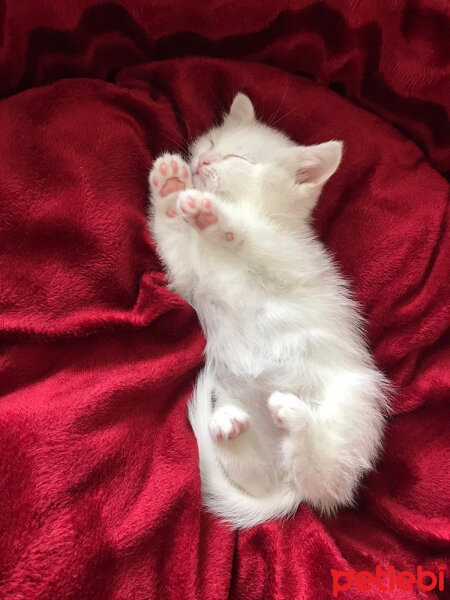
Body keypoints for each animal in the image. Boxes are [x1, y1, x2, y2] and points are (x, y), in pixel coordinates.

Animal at [147, 91, 386, 528]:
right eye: (211, 144)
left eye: (238, 158)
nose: (202, 163)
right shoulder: (188, 277)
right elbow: (172, 236)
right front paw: (170, 187)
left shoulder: (288, 257)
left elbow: (252, 237)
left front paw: (212, 214)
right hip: (240, 409)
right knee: (258, 477)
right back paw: (229, 428)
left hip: (352, 405)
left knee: (325, 480)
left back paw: (295, 417)